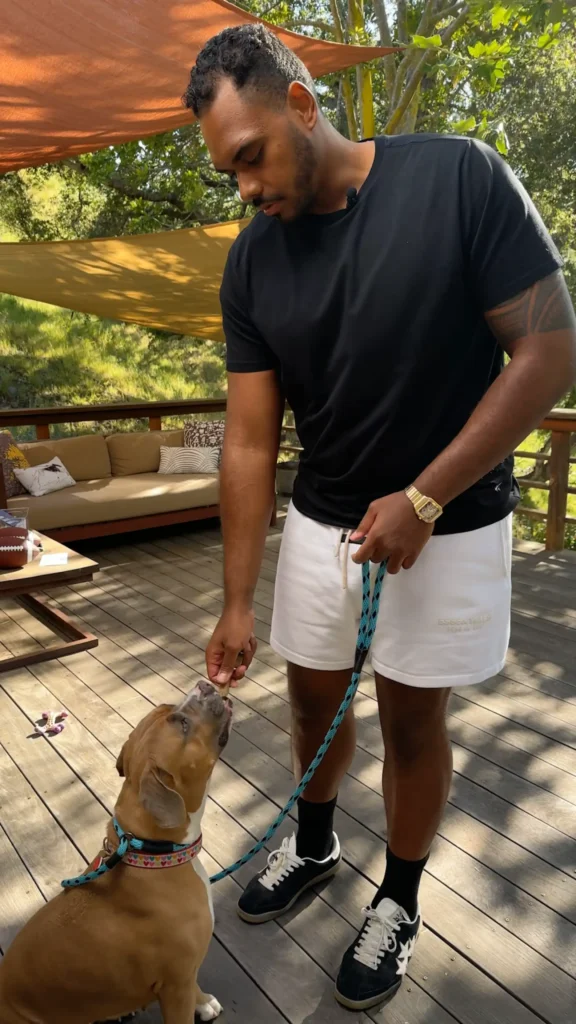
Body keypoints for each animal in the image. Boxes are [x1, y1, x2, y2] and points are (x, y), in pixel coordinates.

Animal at [0, 681, 232, 1024]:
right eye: (183, 725)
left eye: (171, 708)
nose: (204, 685)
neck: (152, 853)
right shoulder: (176, 983)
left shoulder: (185, 976)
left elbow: (196, 984)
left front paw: (202, 1002)